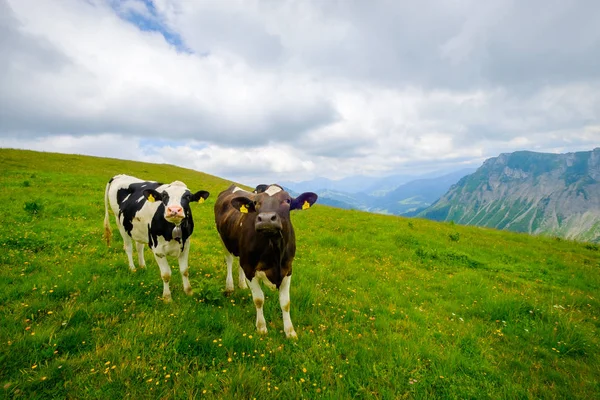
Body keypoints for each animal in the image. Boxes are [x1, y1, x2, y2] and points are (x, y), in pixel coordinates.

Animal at [105, 173, 211, 302]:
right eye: (164, 195)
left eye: (188, 196)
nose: (174, 210)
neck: (173, 228)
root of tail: (120, 175)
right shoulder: (157, 249)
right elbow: (166, 274)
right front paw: (167, 297)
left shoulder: (185, 245)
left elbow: (184, 271)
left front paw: (188, 292)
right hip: (120, 223)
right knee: (128, 247)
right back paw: (133, 268)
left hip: (139, 228)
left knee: (139, 246)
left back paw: (143, 266)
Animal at [216, 184, 318, 338]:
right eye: (256, 202)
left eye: (287, 200)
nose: (266, 219)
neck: (275, 251)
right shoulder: (250, 269)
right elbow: (259, 299)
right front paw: (261, 327)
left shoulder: (288, 269)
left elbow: (285, 302)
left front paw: (290, 331)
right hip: (223, 239)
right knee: (229, 260)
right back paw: (230, 286)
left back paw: (242, 284)